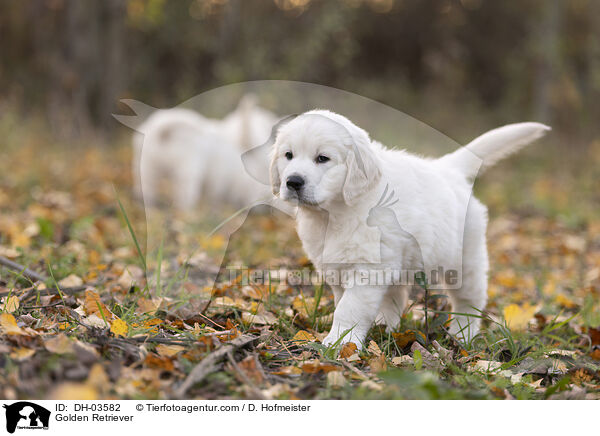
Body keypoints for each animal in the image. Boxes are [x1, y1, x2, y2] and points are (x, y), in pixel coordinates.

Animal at [270, 110, 552, 350]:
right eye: (288, 155)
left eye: (322, 158)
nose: (293, 181)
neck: (335, 214)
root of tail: (448, 169)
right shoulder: (337, 267)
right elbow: (343, 301)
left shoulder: (368, 269)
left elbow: (349, 308)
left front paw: (340, 342)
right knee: (396, 296)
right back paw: (385, 327)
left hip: (465, 259)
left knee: (469, 301)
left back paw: (463, 335)